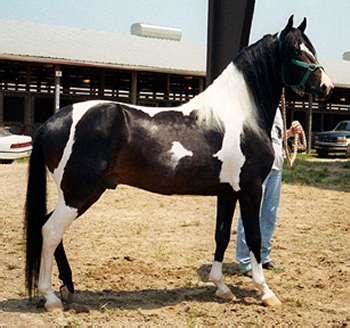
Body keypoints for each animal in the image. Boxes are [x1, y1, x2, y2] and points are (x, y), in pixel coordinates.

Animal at [23, 15, 334, 312]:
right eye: (296, 49)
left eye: (312, 48)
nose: (326, 86)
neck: (239, 116)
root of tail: (53, 121)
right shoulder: (250, 189)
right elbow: (254, 237)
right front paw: (266, 292)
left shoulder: (227, 192)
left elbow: (221, 235)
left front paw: (222, 287)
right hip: (79, 193)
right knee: (50, 231)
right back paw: (50, 298)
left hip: (77, 194)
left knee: (49, 227)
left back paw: (67, 287)